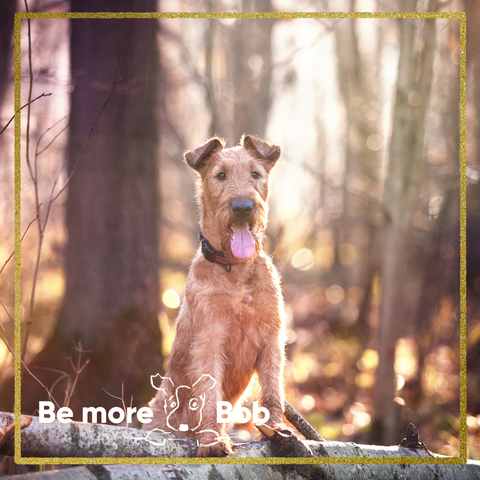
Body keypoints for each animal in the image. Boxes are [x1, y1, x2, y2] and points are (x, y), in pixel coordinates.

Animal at [146, 135, 286, 458]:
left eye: (255, 173)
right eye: (220, 175)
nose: (243, 207)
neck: (236, 268)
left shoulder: (272, 336)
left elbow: (273, 387)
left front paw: (277, 427)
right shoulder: (209, 339)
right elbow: (209, 392)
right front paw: (212, 440)